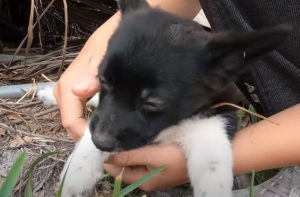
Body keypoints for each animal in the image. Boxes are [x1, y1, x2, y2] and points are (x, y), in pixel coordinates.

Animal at [37, 0, 290, 196]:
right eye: (103, 80)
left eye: (153, 103)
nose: (101, 142)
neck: (169, 126)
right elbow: (92, 128)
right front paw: (76, 175)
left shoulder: (217, 115)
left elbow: (212, 162)